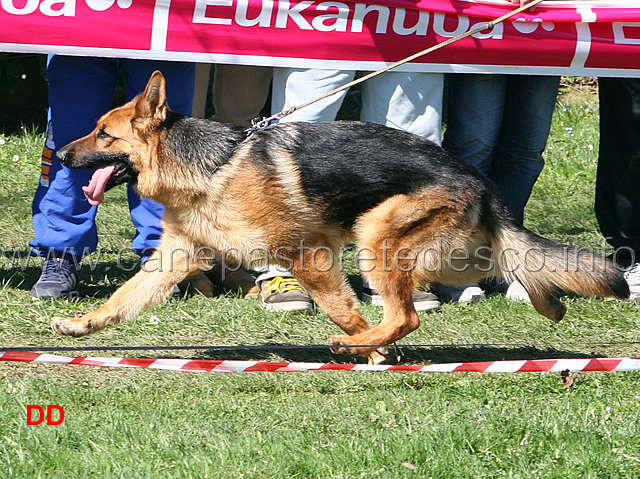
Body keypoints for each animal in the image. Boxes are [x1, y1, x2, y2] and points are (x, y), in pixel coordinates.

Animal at [51, 71, 632, 364]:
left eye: (103, 134)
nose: (58, 155)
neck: (208, 166)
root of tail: (482, 183)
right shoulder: (174, 257)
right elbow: (123, 299)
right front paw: (82, 324)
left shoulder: (306, 256)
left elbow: (343, 310)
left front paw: (369, 350)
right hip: (445, 253)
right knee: (508, 263)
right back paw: (548, 303)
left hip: (376, 237)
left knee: (407, 315)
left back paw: (360, 343)